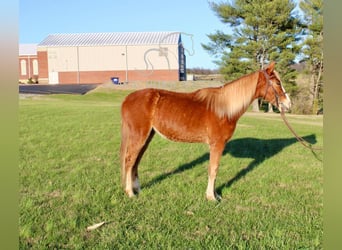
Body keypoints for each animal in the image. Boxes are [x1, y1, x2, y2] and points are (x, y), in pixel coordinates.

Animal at [120, 61, 292, 200]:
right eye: (277, 83)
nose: (288, 104)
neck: (224, 108)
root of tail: (127, 99)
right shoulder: (217, 144)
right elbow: (213, 169)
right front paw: (211, 197)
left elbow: (213, 169)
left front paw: (214, 195)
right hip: (139, 136)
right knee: (129, 161)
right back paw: (130, 193)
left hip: (147, 136)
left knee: (136, 162)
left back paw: (137, 189)